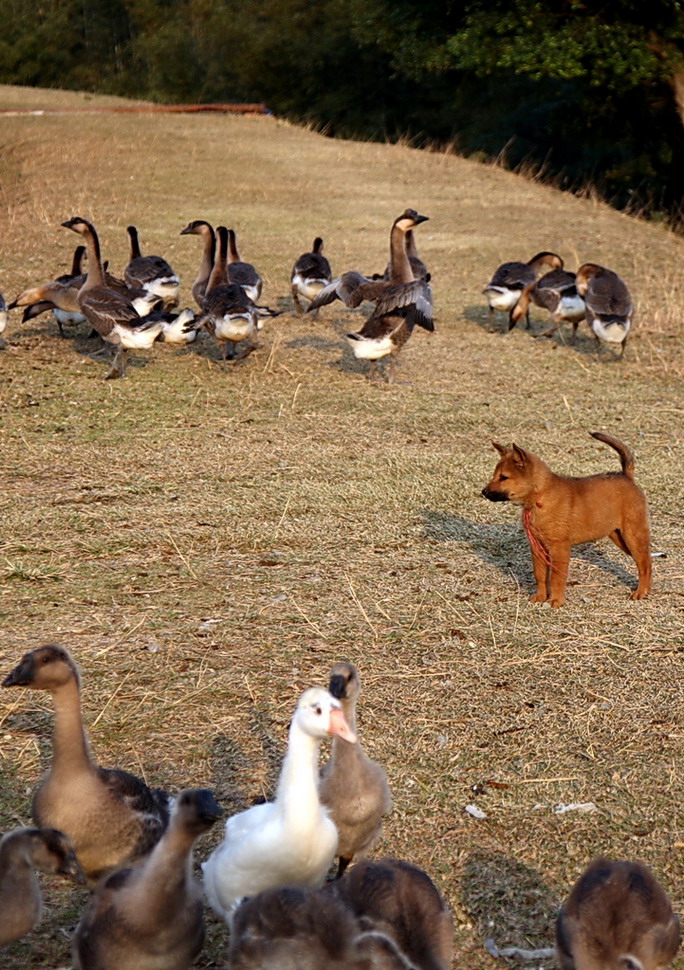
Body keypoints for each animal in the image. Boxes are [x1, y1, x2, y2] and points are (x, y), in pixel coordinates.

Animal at [480, 432, 652, 604]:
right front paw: (540, 597)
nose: (484, 492)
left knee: (645, 564)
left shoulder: (559, 548)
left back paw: (641, 592)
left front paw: (555, 601)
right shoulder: (538, 548)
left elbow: (556, 578)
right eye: (495, 475)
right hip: (618, 537)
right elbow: (540, 575)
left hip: (633, 536)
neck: (540, 497)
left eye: (504, 477)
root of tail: (627, 477)